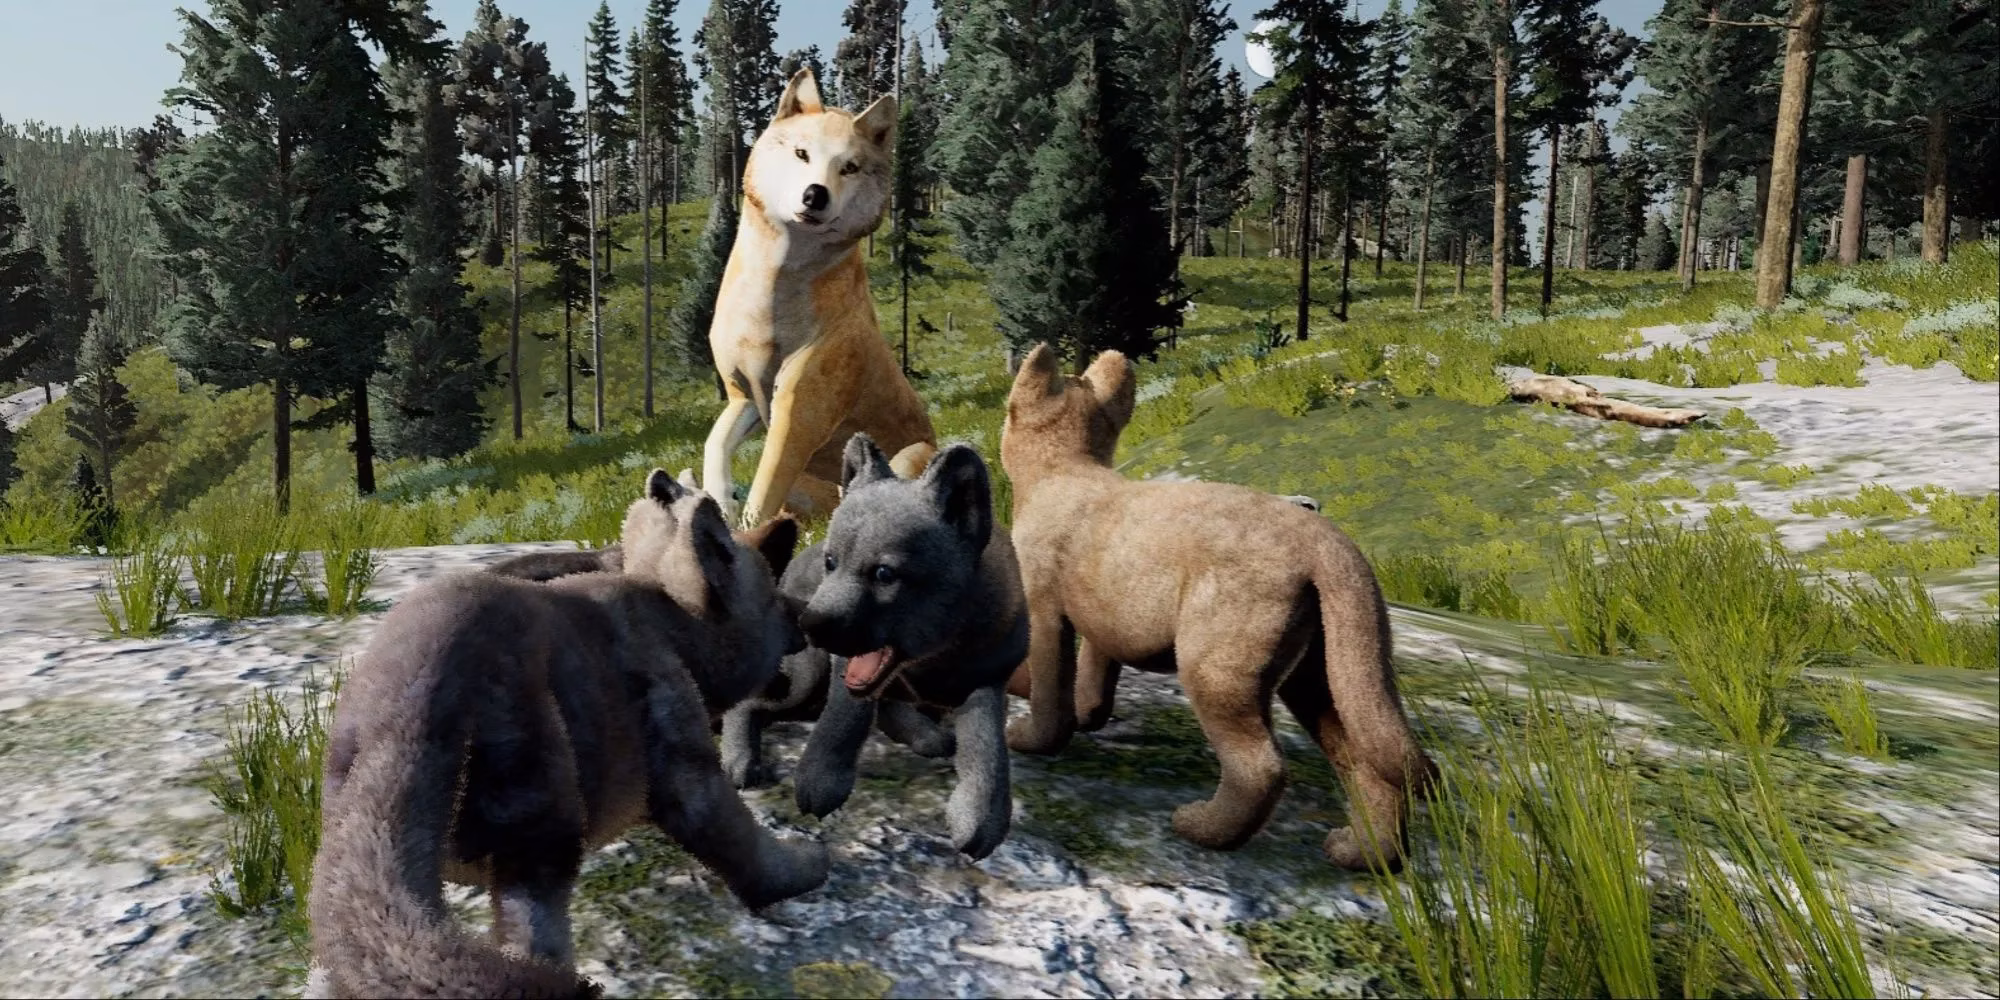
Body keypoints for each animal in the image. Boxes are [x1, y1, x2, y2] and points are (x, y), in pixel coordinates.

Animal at [307, 470, 827, 999]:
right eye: (773, 596)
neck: (670, 624)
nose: (806, 613)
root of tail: (410, 698)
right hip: (541, 824)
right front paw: (807, 865)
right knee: (536, 940)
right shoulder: (686, 757)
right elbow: (743, 848)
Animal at [702, 67, 938, 529]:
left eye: (849, 167)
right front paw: (720, 502)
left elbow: (766, 481)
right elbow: (714, 447)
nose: (815, 194)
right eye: (801, 153)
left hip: (911, 456)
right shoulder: (744, 397)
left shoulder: (799, 410)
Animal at [778, 434, 1030, 861]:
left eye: (884, 574)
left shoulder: (988, 679)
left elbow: (988, 749)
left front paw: (981, 816)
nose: (809, 623)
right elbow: (843, 717)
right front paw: (821, 777)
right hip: (803, 676)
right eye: (832, 563)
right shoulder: (847, 670)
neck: (935, 657)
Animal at [1000, 344, 1437, 871]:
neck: (1064, 466)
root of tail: (1327, 541)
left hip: (1216, 664)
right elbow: (1093, 676)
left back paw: (1202, 828)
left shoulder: (1043, 607)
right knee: (1365, 762)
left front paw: (1028, 736)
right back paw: (1361, 853)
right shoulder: (1104, 612)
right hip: (1322, 672)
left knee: (1262, 765)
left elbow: (1050, 688)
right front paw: (1086, 714)